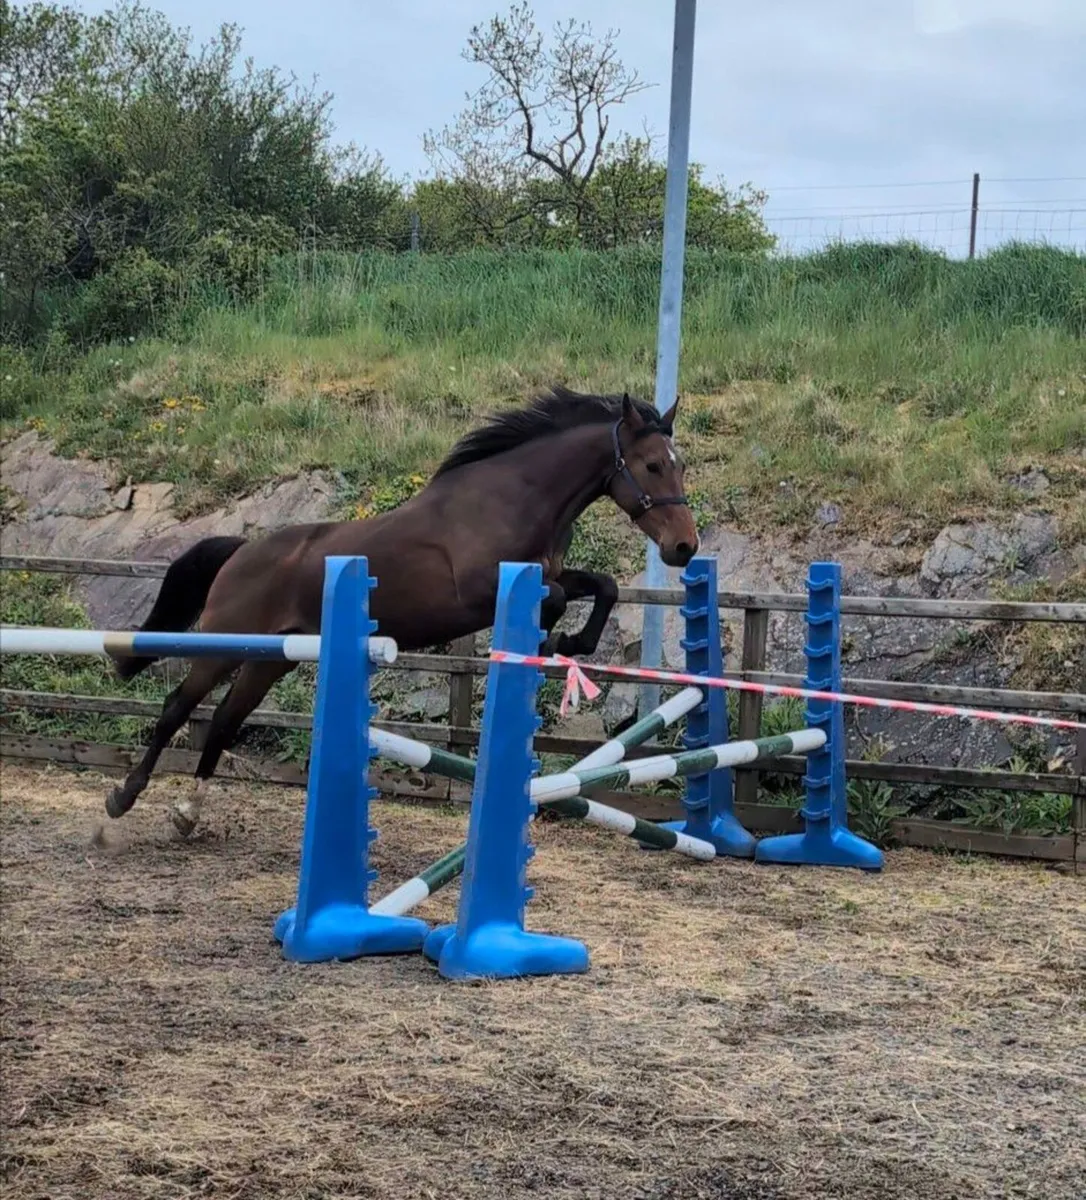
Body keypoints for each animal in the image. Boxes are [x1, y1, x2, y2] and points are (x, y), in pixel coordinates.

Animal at [105, 385, 699, 836]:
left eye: (680, 466)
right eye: (651, 465)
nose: (684, 548)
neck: (515, 498)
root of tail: (241, 550)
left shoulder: (552, 572)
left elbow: (603, 586)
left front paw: (570, 643)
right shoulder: (480, 591)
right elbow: (555, 599)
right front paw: (551, 639)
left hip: (272, 659)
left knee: (227, 719)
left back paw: (187, 814)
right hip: (224, 647)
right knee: (177, 708)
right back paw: (123, 798)